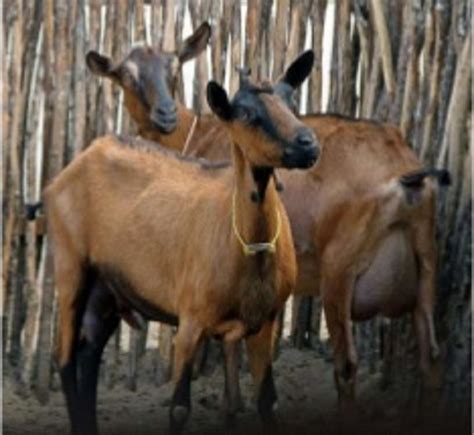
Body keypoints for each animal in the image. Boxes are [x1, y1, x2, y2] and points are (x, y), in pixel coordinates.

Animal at [45, 73, 318, 434]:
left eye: (291, 101)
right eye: (246, 113)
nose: (309, 143)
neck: (249, 250)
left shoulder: (266, 322)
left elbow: (268, 403)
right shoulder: (190, 321)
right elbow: (178, 409)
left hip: (107, 287)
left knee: (88, 354)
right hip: (71, 266)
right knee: (64, 358)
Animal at [87, 23, 446, 418]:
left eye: (174, 67)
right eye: (126, 75)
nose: (164, 114)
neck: (198, 134)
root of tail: (406, 173)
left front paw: (230, 405)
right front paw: (234, 404)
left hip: (339, 268)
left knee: (347, 364)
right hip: (426, 258)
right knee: (431, 356)